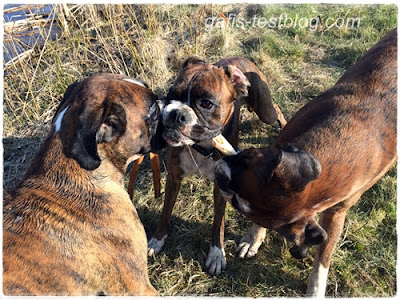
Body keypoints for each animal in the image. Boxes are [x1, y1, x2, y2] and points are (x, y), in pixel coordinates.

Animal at [148, 55, 286, 274]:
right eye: (171, 94)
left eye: (206, 103)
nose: (176, 113)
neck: (202, 147)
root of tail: (242, 57)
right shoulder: (174, 178)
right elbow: (166, 210)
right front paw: (157, 239)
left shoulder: (221, 188)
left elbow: (218, 222)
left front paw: (216, 253)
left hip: (265, 111)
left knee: (277, 111)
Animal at [216, 29, 396, 296]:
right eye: (248, 155)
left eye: (237, 204)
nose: (221, 176)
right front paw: (252, 239)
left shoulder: (336, 213)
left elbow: (324, 257)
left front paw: (315, 290)